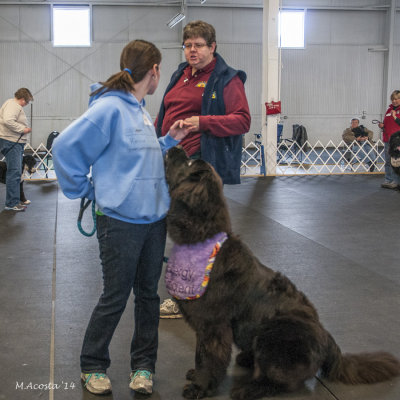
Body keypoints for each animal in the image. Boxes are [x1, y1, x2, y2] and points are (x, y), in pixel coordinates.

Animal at [163, 147, 400, 400]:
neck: (203, 239)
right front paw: (196, 377)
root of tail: (328, 338)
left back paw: (247, 388)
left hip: (274, 335)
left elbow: (206, 358)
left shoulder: (212, 325)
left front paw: (200, 386)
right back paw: (246, 359)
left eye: (188, 162)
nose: (175, 147)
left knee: (280, 381)